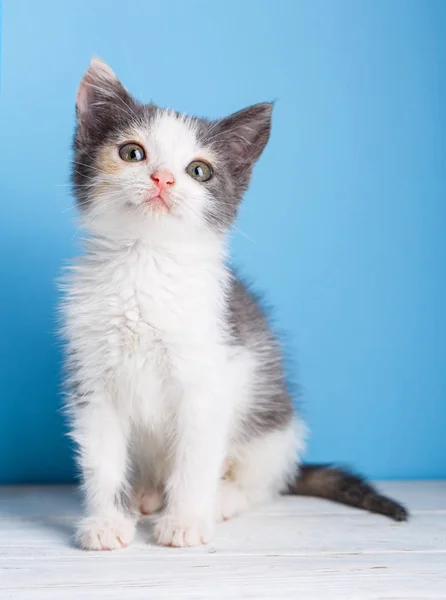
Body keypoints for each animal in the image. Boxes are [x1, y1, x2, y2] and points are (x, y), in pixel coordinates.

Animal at [62, 58, 408, 552]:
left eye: (199, 171)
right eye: (132, 153)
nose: (163, 178)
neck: (146, 261)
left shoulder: (208, 379)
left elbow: (195, 460)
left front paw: (186, 521)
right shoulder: (93, 382)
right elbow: (103, 461)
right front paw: (107, 524)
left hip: (273, 429)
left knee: (264, 483)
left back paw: (222, 499)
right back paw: (147, 494)